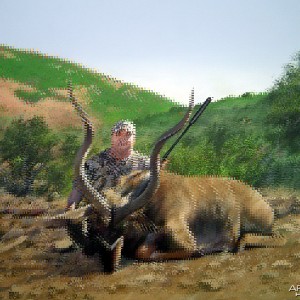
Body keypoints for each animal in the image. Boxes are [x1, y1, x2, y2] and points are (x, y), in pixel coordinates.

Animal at [67, 85, 284, 274]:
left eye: (121, 228)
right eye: (95, 226)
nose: (109, 263)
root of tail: (260, 199)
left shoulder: (181, 234)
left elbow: (153, 251)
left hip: (263, 227)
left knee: (276, 238)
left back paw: (238, 244)